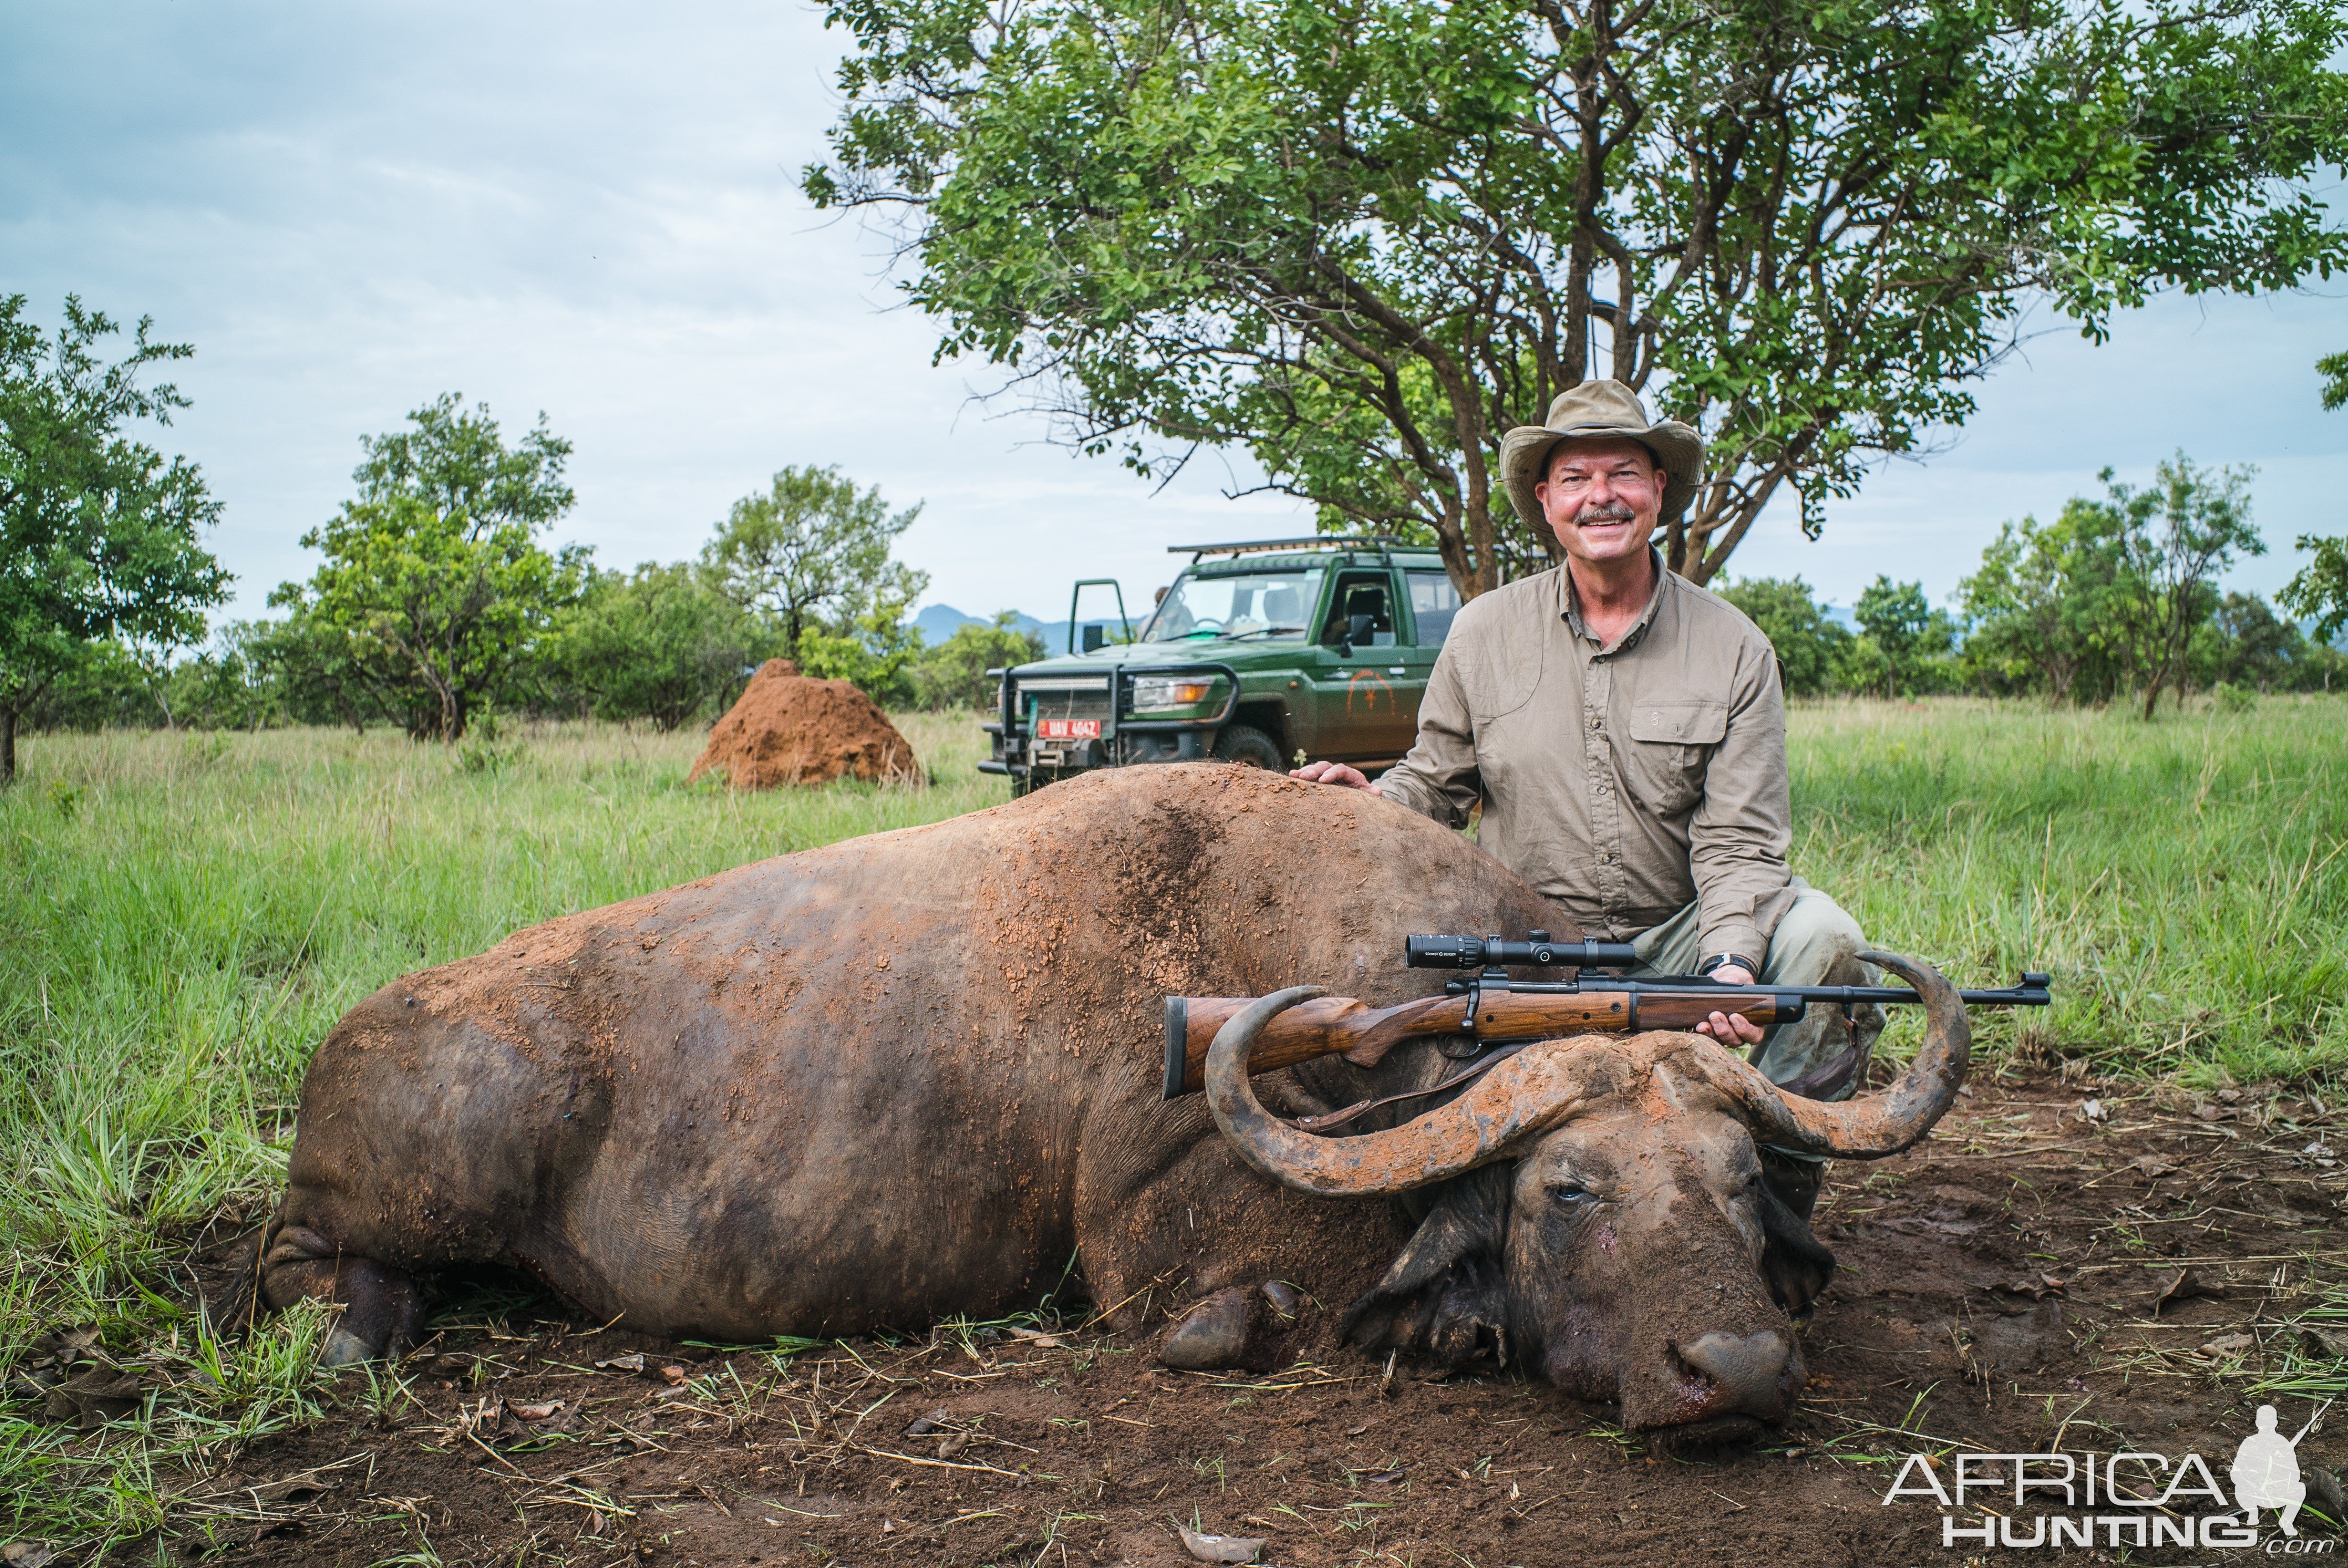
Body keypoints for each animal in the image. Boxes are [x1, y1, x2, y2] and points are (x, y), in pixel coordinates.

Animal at [243, 760, 1963, 1446]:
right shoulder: (1153, 1253)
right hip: (414, 1186)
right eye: (1569, 1189)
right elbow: (1246, 1316)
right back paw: (348, 1338)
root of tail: (354, 1040)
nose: (1732, 1367)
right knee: (305, 1262)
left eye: (1736, 1183)